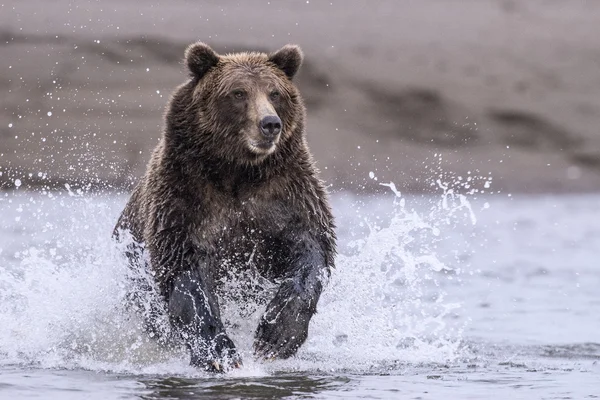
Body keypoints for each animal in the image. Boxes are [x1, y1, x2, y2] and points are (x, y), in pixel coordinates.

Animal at [112, 42, 336, 370]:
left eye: (274, 93)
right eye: (238, 93)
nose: (270, 124)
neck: (238, 171)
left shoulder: (286, 193)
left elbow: (311, 250)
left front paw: (276, 336)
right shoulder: (184, 196)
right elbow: (187, 274)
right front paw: (220, 353)